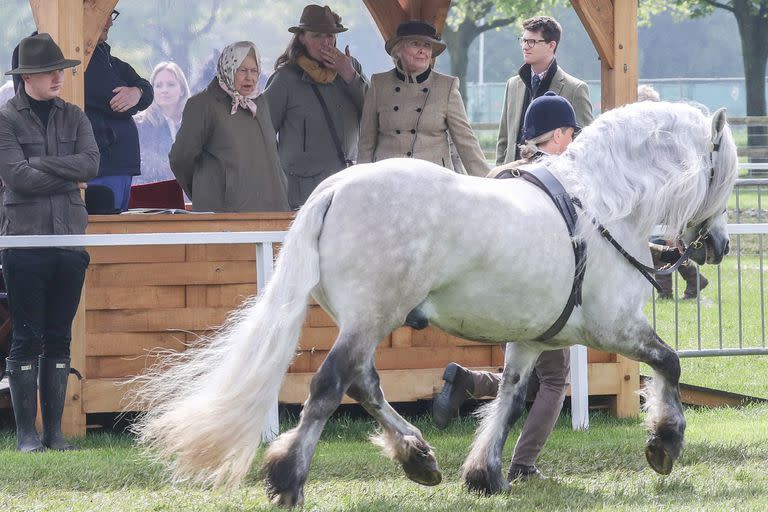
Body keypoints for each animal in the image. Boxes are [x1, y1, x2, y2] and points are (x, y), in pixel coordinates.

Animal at [132, 102, 736, 506]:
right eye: (723, 173)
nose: (720, 246)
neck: (603, 205)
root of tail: (334, 189)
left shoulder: (532, 339)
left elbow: (511, 395)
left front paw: (485, 472)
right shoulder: (615, 327)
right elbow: (670, 362)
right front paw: (664, 443)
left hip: (364, 321)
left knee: (364, 384)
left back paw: (418, 457)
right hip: (371, 318)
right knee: (331, 385)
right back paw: (290, 479)